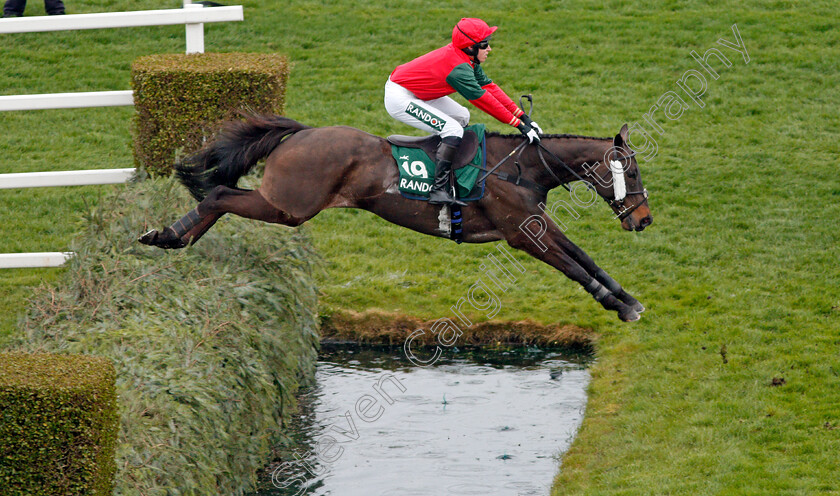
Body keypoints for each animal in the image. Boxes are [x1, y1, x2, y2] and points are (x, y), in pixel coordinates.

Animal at [138, 115, 652, 322]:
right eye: (631, 170)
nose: (643, 220)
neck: (521, 167)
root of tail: (300, 133)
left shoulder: (536, 224)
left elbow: (584, 258)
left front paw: (627, 298)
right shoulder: (523, 234)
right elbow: (572, 266)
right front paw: (621, 306)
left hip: (284, 204)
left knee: (219, 194)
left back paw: (170, 237)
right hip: (289, 207)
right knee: (220, 193)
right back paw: (169, 236)